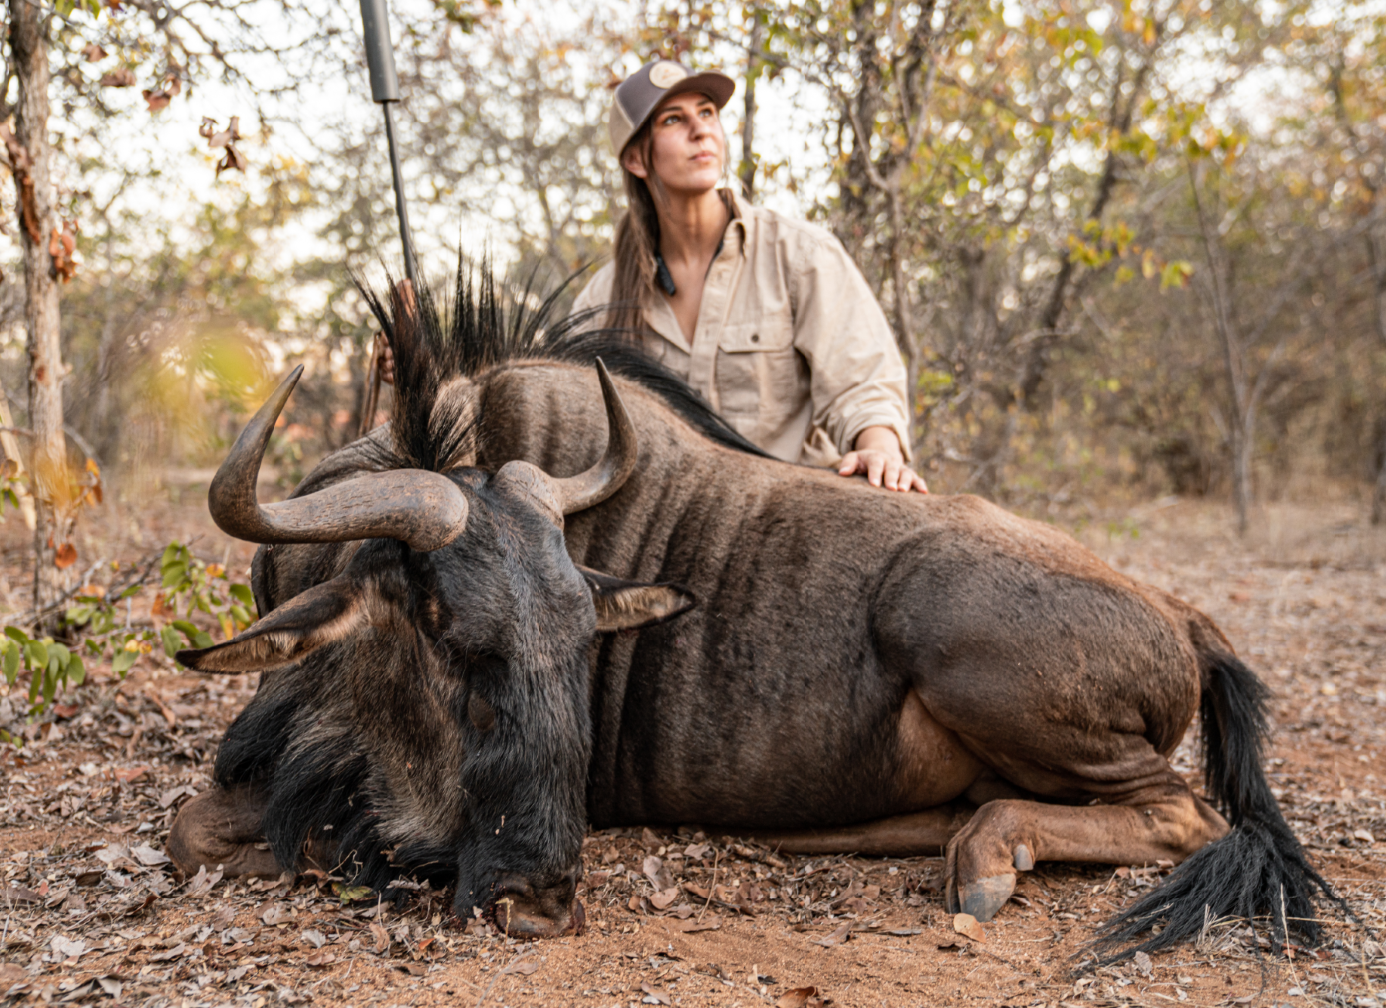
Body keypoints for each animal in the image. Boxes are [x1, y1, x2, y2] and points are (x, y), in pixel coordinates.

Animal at [172, 270, 1341, 959]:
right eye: (448, 639)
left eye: (582, 643)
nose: (540, 900)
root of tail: (1181, 617)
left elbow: (244, 835)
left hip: (953, 634)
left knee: (1185, 814)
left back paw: (987, 859)